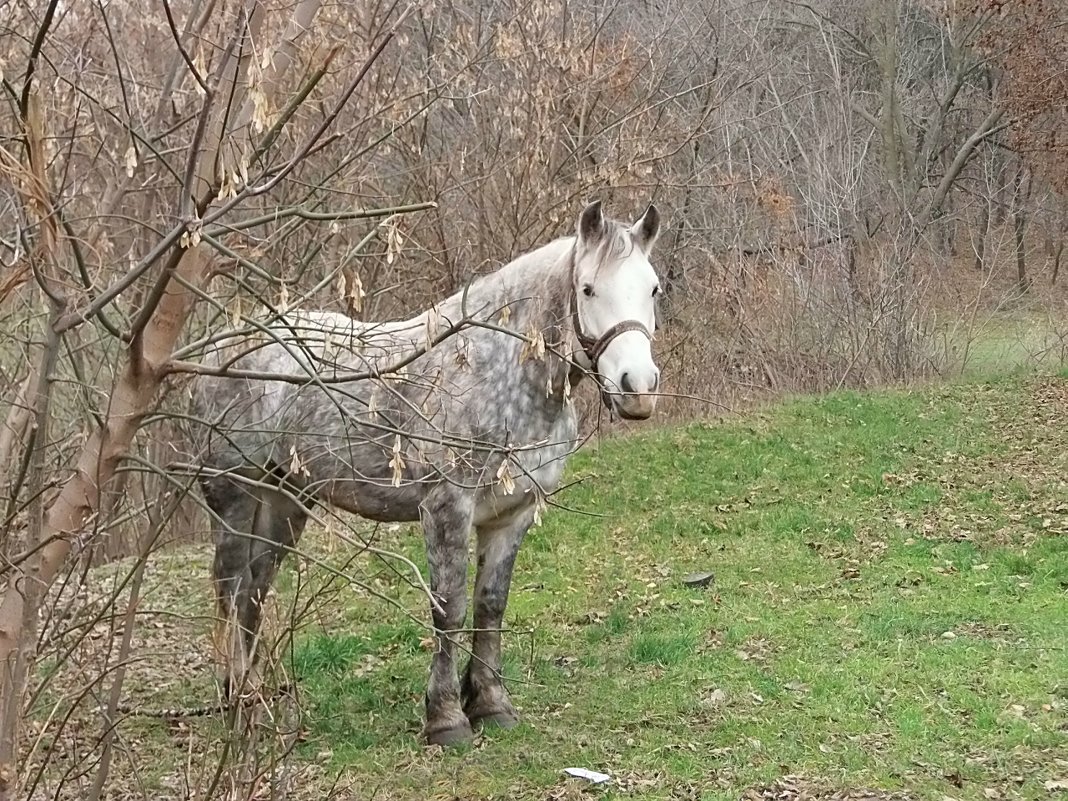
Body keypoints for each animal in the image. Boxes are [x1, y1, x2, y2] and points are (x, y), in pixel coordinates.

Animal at [187, 199, 662, 747]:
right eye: (587, 289)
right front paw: (446, 717)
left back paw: (251, 696)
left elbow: (490, 605)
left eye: (653, 288)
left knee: (255, 589)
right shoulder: (447, 508)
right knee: (230, 586)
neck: (494, 371)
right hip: (235, 496)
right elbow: (449, 607)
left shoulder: (513, 513)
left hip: (285, 498)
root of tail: (219, 349)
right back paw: (237, 704)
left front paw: (491, 704)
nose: (637, 387)